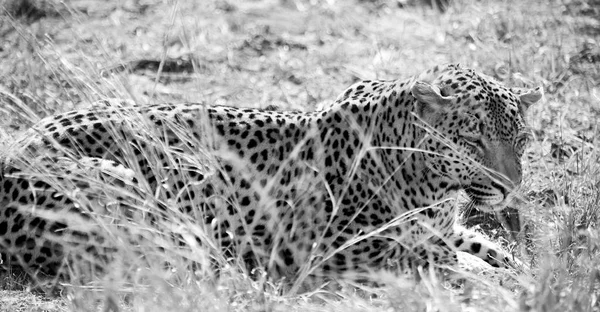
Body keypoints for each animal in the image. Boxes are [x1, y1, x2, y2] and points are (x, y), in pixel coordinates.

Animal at [0, 63, 540, 288]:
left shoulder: (447, 230)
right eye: (471, 140)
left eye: (520, 140)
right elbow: (441, 261)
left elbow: (487, 249)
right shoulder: (341, 251)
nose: (509, 189)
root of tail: (13, 153)